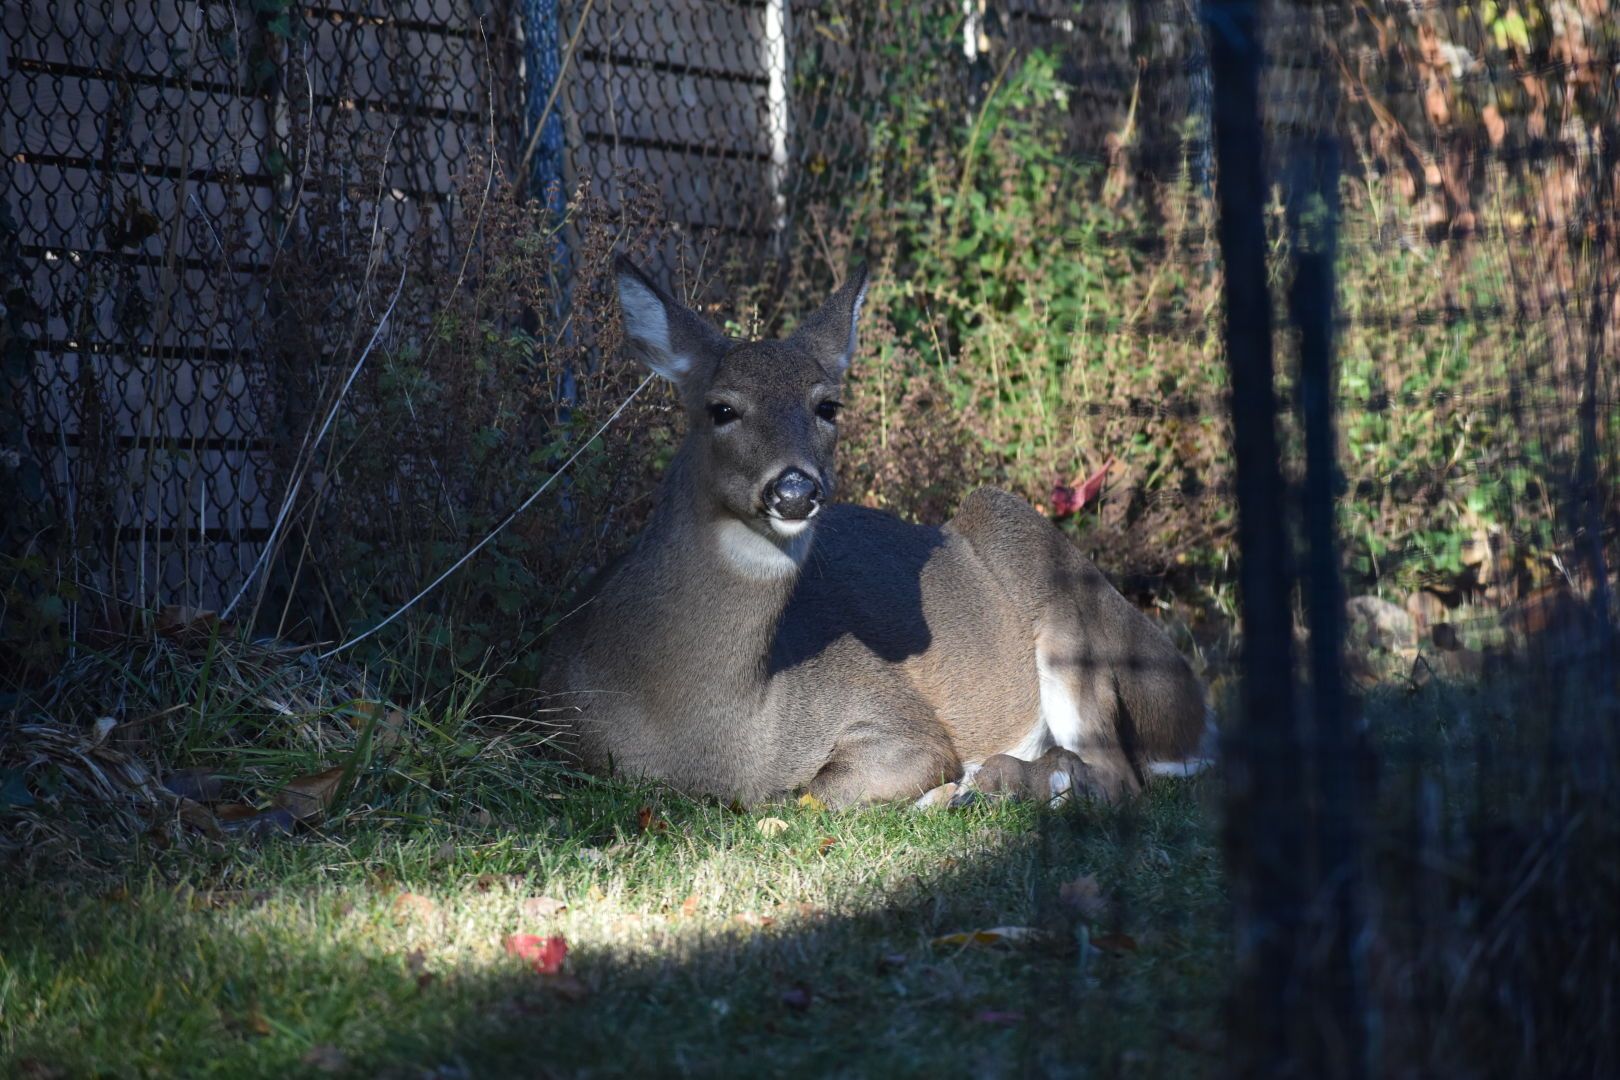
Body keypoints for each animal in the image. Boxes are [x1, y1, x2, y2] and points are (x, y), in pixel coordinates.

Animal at [544, 257, 1218, 806]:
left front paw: (952, 785)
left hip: (1055, 589)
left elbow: (809, 793)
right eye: (722, 408)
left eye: (827, 405)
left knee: (1116, 777)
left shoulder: (894, 716)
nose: (795, 489)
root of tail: (1197, 712)